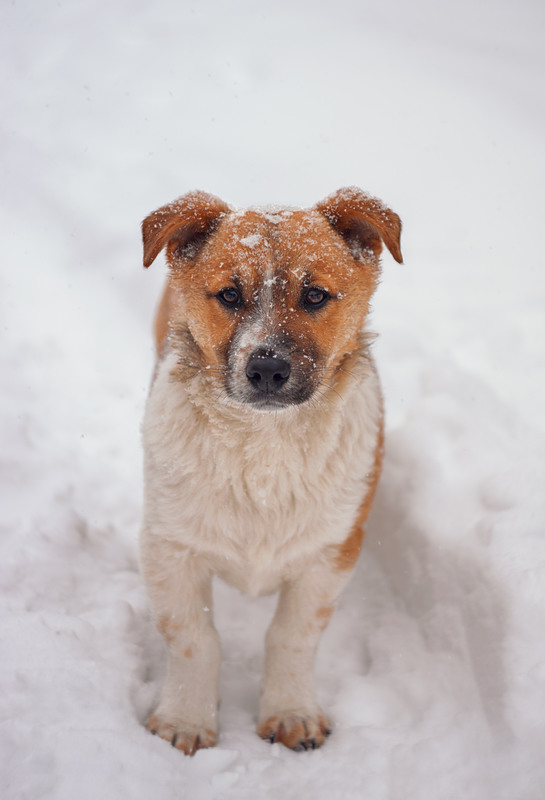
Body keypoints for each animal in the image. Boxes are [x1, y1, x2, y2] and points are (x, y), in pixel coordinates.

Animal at [138, 188, 402, 756]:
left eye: (316, 295)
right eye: (230, 295)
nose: (266, 369)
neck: (264, 447)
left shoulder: (330, 553)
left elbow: (291, 635)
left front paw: (290, 714)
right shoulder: (169, 546)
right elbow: (194, 637)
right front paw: (185, 720)